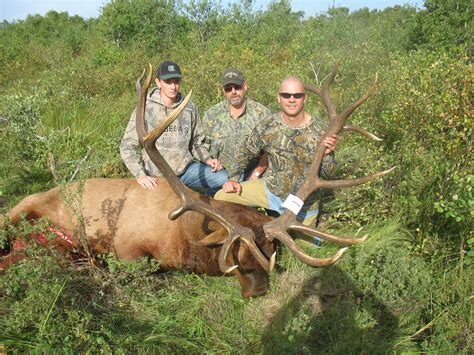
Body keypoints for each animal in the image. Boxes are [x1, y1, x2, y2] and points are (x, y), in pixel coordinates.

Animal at [0, 63, 392, 298]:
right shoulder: (127, 249)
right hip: (18, 211)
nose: (258, 291)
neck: (181, 238)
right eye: (236, 256)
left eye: (271, 249)